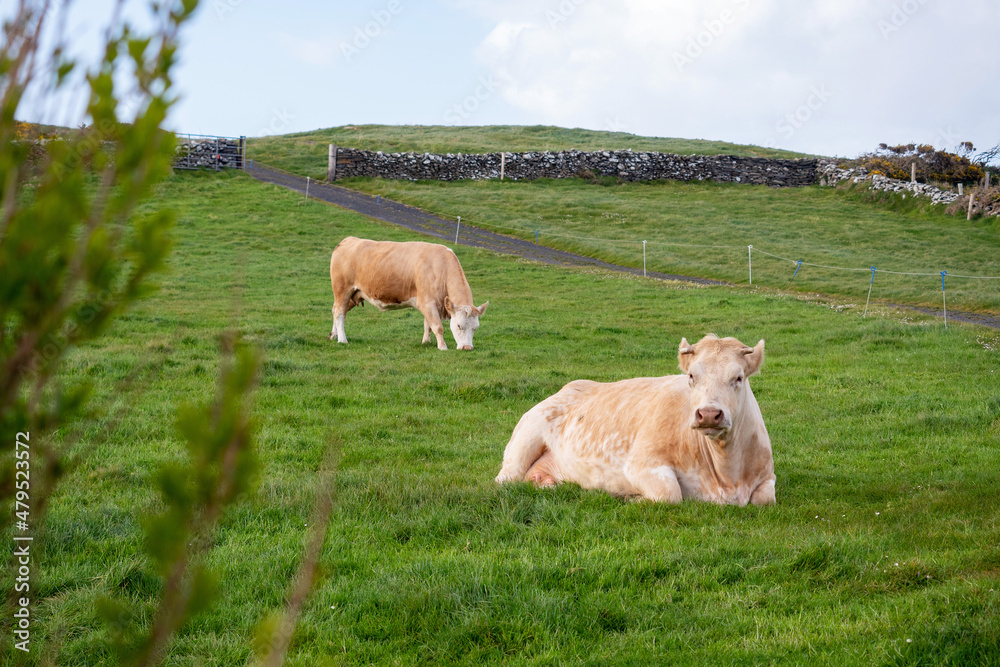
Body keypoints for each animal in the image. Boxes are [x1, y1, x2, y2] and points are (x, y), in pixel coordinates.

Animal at [328, 237, 489, 350]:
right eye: (459, 326)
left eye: (476, 328)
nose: (467, 348)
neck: (440, 266)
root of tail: (348, 240)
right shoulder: (427, 302)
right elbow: (437, 327)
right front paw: (442, 347)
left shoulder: (433, 304)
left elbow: (428, 325)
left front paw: (426, 342)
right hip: (342, 290)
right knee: (340, 313)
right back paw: (342, 340)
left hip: (354, 294)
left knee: (336, 310)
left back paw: (333, 335)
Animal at [495, 334, 776, 506]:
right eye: (692, 376)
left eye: (738, 377)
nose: (708, 414)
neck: (727, 476)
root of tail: (571, 386)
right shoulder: (641, 464)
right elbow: (669, 493)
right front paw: (632, 497)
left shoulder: (767, 476)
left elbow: (765, 499)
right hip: (524, 440)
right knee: (505, 480)